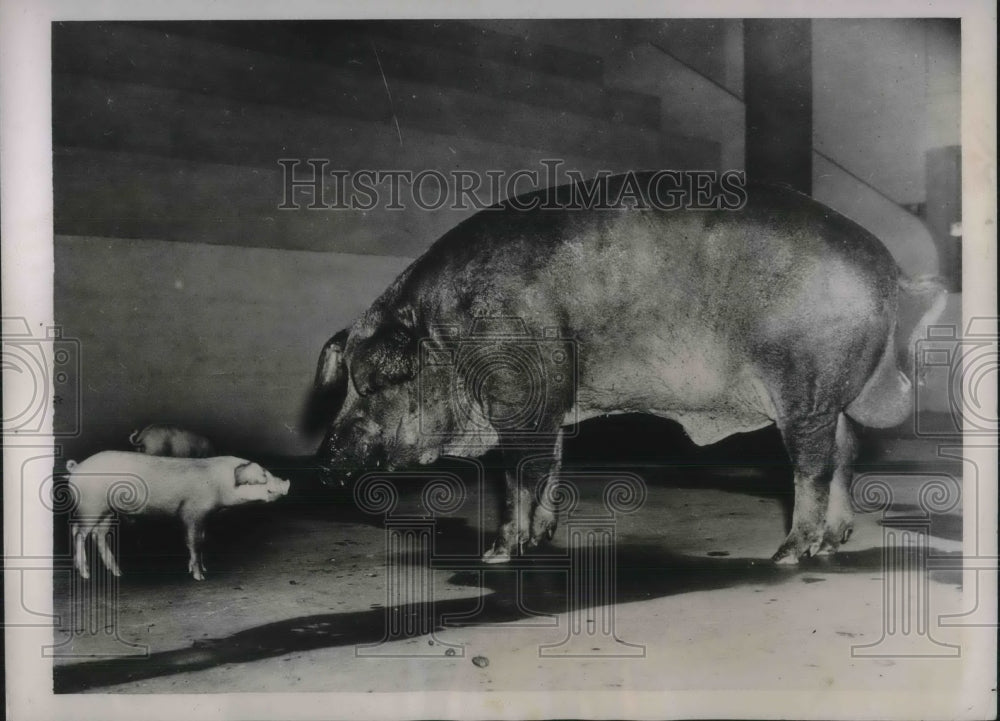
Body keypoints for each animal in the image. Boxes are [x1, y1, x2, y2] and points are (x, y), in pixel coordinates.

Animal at [67, 451, 290, 581]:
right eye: (263, 476)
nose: (287, 482)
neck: (219, 485)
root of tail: (76, 468)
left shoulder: (203, 516)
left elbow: (201, 540)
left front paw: (203, 569)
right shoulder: (193, 511)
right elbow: (194, 541)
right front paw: (200, 577)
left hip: (105, 510)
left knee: (97, 535)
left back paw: (118, 573)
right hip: (91, 506)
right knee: (79, 532)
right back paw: (86, 574)